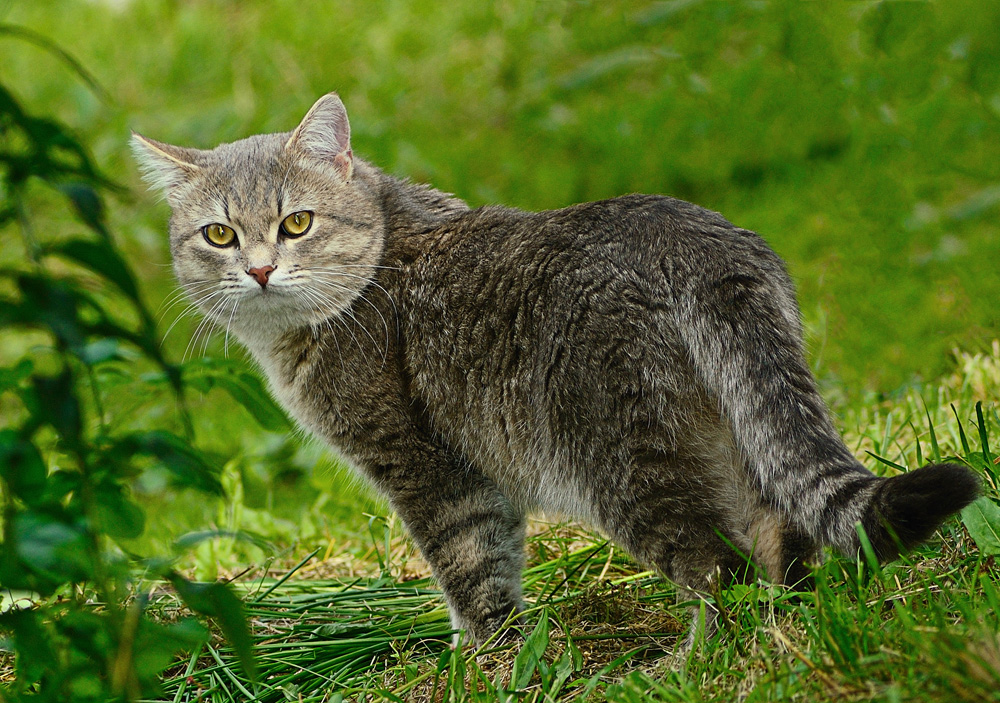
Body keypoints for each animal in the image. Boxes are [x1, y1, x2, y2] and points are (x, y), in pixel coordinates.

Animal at [129, 95, 980, 648]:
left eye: (296, 222)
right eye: (218, 234)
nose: (261, 270)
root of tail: (693, 239)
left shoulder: (431, 470)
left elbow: (473, 571)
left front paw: (486, 657)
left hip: (626, 464)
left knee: (720, 567)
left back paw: (694, 660)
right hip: (732, 433)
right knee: (784, 540)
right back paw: (799, 624)